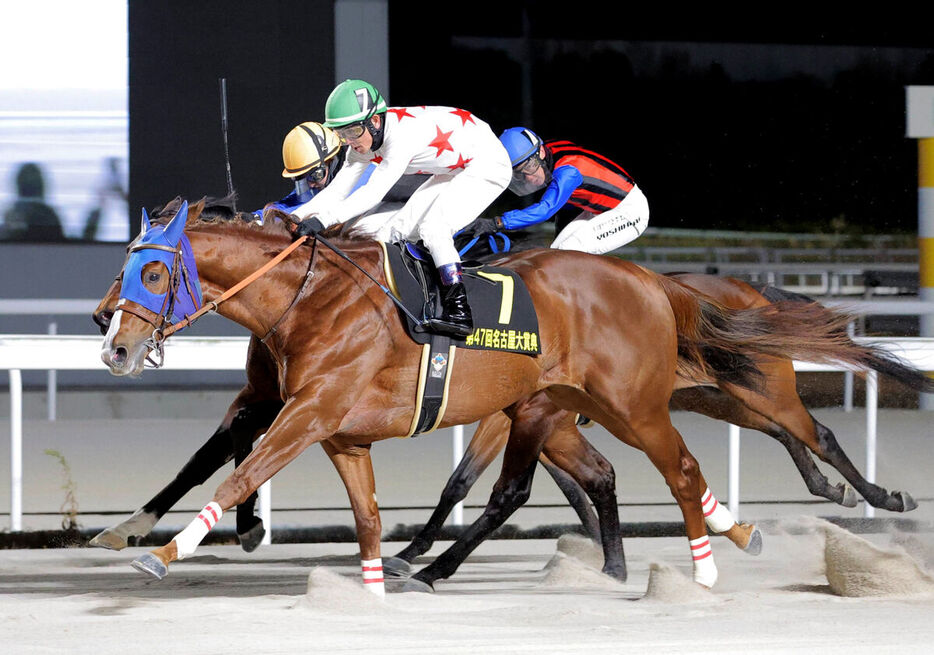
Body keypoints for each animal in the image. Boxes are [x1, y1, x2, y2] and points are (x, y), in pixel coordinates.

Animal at [97, 197, 928, 592]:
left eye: (154, 270)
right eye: (126, 263)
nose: (112, 339)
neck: (314, 298)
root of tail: (654, 282)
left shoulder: (307, 410)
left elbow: (241, 468)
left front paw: (164, 549)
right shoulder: (319, 418)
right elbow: (331, 497)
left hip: (646, 402)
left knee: (719, 458)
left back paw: (722, 556)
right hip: (603, 403)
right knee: (603, 475)